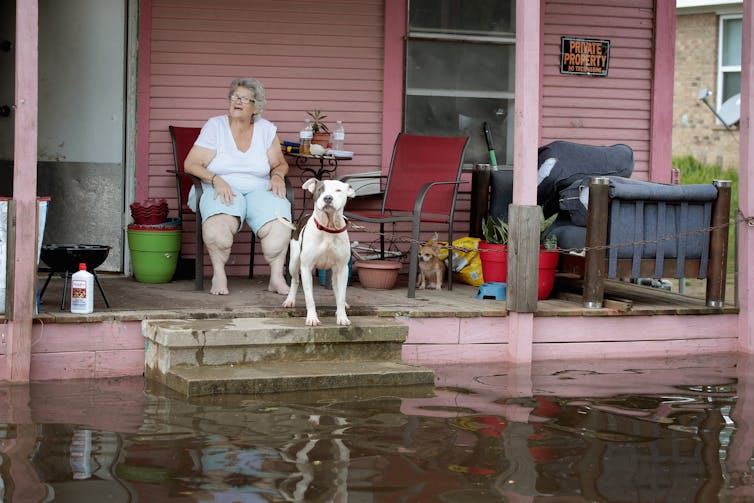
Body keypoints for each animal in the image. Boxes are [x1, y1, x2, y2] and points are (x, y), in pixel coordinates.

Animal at [282, 178, 356, 326]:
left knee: (337, 288)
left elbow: (341, 294)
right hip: (293, 262)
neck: (328, 228)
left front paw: (342, 317)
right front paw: (312, 318)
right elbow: (309, 297)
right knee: (295, 280)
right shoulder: (306, 268)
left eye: (338, 190)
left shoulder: (342, 268)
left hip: (336, 271)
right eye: (320, 189)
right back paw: (290, 300)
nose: (328, 198)